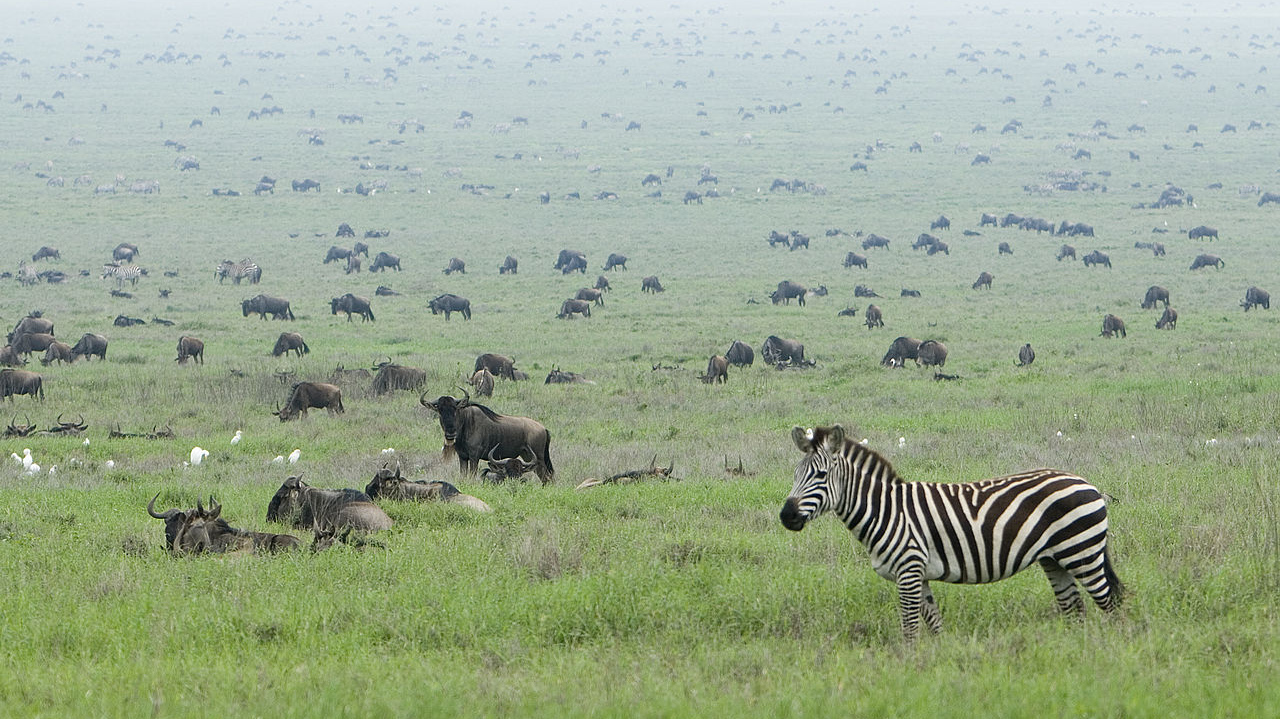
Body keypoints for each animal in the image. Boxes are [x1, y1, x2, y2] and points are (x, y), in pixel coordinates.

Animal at [778, 419, 1121, 637]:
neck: (886, 511)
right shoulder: (918, 575)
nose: (786, 516)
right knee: (1075, 609)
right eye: (795, 474)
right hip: (1055, 560)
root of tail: (1087, 483)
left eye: (821, 475)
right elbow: (934, 626)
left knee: (1111, 605)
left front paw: (909, 668)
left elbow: (910, 629)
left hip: (1082, 553)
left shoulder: (908, 570)